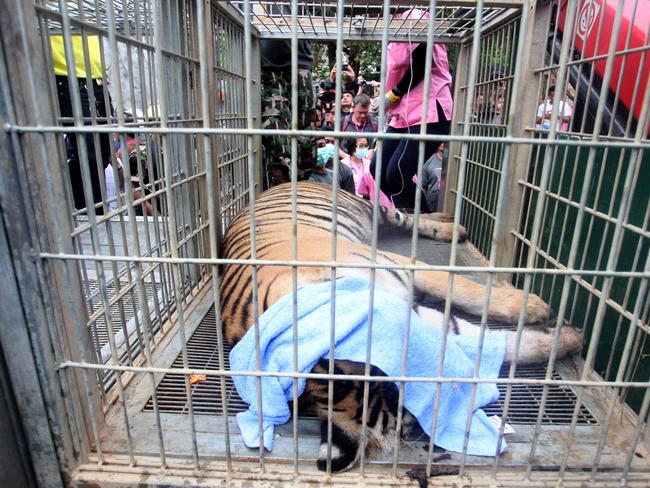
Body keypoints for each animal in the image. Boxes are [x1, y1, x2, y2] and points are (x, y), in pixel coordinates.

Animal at [220, 181, 580, 470]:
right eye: (410, 421)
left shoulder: (405, 268)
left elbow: (466, 290)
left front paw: (533, 308)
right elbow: (493, 340)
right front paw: (566, 338)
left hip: (369, 209)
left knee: (405, 214)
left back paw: (450, 227)